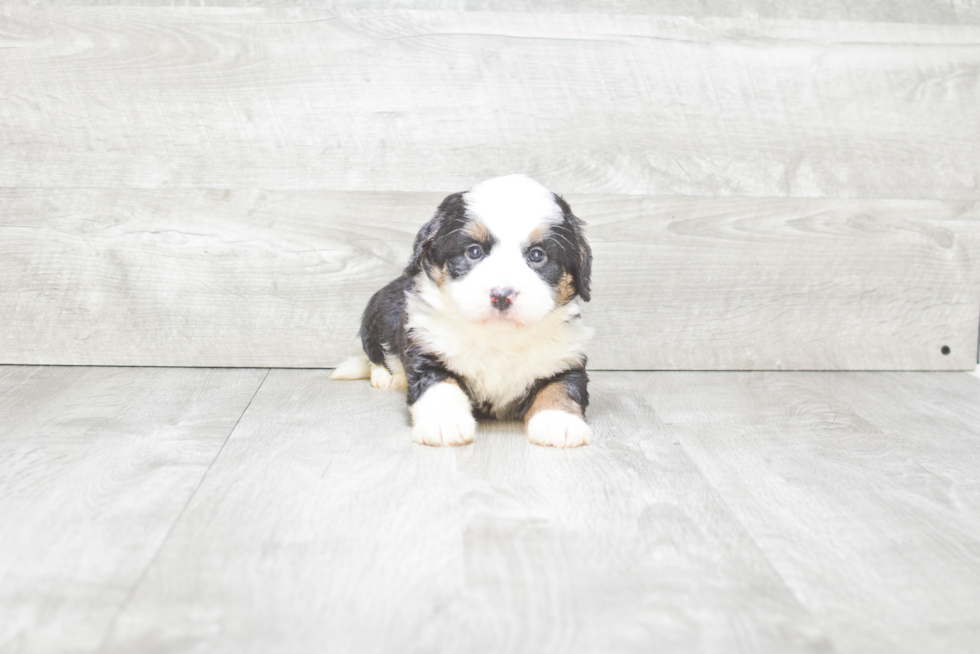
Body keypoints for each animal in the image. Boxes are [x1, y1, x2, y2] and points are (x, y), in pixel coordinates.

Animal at [334, 174, 592, 452]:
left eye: (537, 255)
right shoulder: (427, 352)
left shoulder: (566, 357)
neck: (498, 339)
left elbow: (560, 389)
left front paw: (558, 423)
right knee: (375, 355)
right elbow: (441, 387)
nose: (502, 295)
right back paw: (387, 376)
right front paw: (444, 423)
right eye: (474, 252)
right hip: (377, 314)